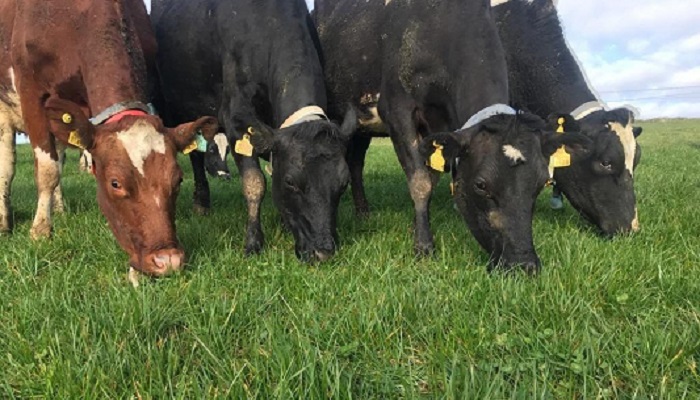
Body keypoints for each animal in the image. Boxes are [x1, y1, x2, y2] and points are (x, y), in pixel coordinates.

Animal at [0, 0, 219, 277]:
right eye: (115, 183)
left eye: (178, 179)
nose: (168, 261)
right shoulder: (31, 91)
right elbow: (47, 170)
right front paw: (40, 231)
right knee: (7, 166)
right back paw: (4, 221)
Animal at [152, 0, 355, 262]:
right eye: (291, 182)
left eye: (343, 183)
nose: (323, 252)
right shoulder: (236, 118)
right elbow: (254, 183)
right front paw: (253, 243)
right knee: (195, 155)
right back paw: (201, 202)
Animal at [315, 0, 592, 272]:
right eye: (480, 185)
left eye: (543, 183)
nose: (524, 264)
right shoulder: (396, 107)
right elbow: (420, 182)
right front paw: (424, 247)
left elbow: (432, 176)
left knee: (356, 163)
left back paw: (363, 212)